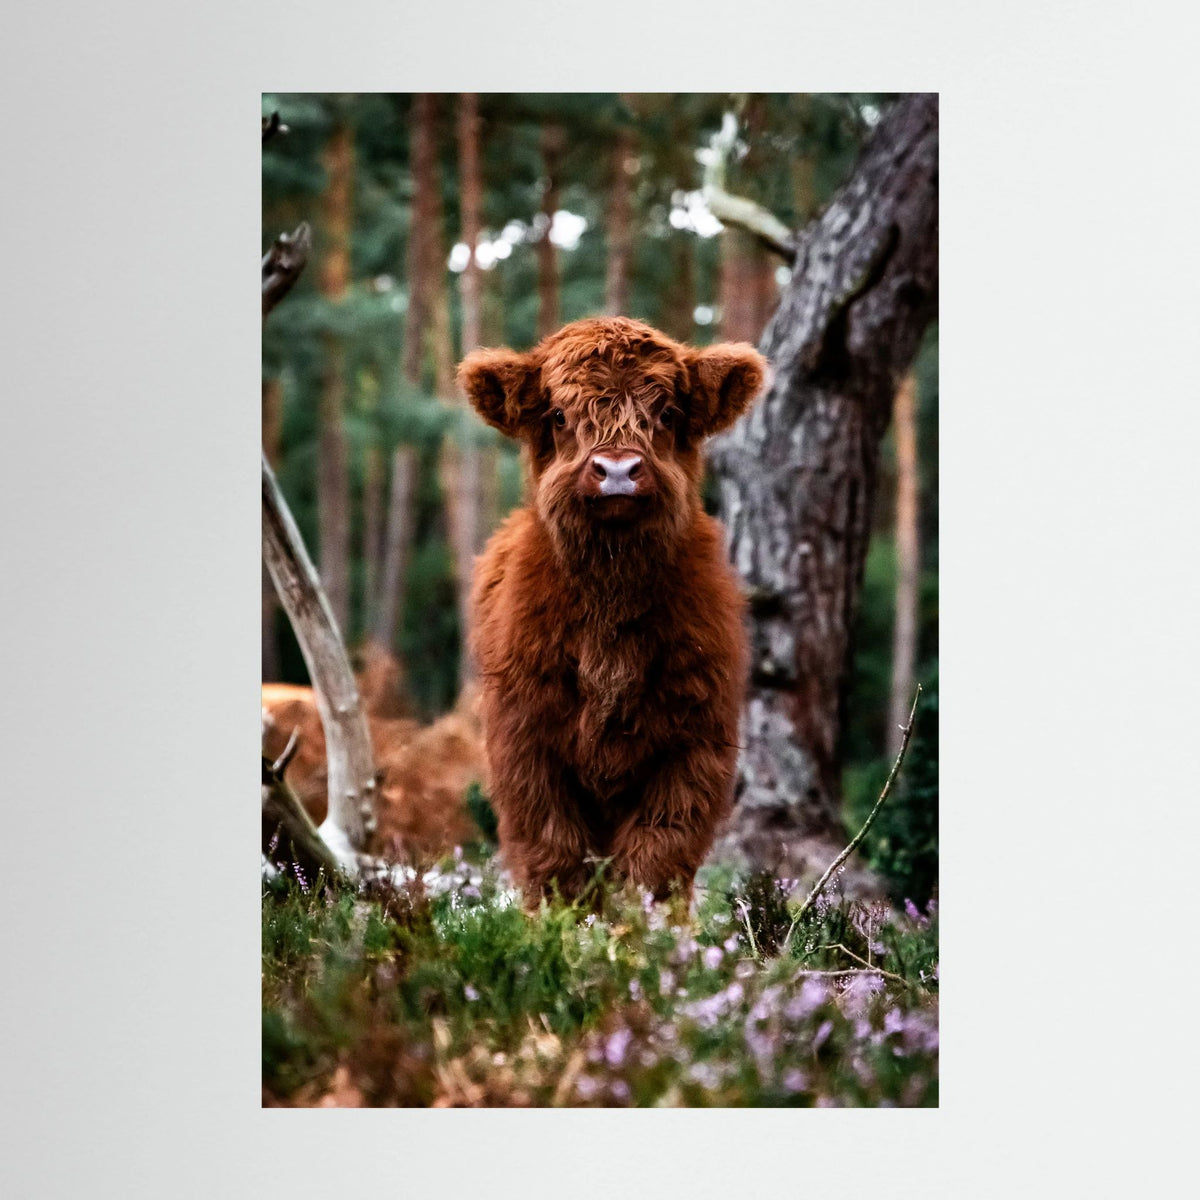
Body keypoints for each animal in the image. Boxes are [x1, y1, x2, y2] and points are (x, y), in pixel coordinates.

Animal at [458, 316, 766, 910]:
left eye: (666, 413)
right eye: (559, 414)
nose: (618, 470)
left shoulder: (694, 748)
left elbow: (657, 859)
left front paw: (645, 931)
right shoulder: (526, 746)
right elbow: (553, 855)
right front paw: (556, 927)